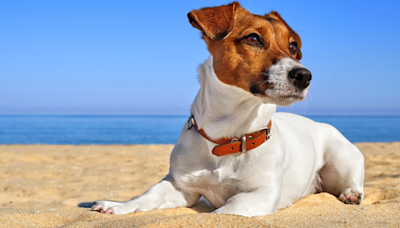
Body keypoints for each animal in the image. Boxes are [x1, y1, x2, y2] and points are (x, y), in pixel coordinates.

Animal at [92, 1, 364, 216]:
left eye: (293, 47)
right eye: (253, 38)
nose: (304, 76)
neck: (228, 136)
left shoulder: (260, 195)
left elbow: (223, 211)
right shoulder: (181, 187)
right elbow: (150, 194)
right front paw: (119, 205)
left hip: (343, 157)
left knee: (353, 179)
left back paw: (351, 193)